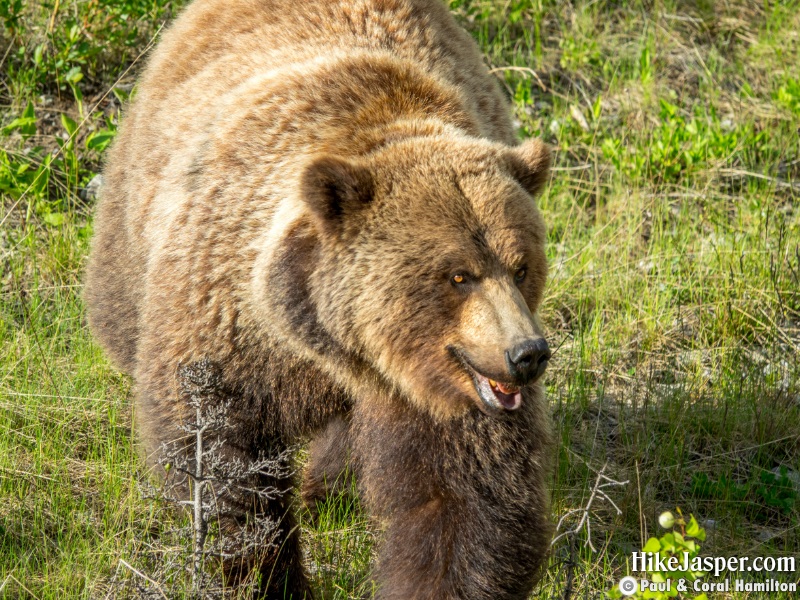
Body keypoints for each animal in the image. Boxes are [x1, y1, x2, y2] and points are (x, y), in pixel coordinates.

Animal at [84, 1, 552, 596]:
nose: (527, 354)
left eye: (521, 267)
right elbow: (223, 459)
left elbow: (465, 500)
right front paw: (265, 574)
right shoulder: (229, 322)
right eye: (458, 276)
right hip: (137, 206)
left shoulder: (445, 392)